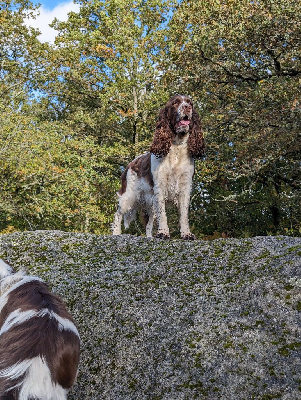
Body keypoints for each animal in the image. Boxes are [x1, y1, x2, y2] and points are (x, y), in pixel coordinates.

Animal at [111, 95, 205, 239]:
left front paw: (186, 234)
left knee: (148, 224)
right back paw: (116, 234)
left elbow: (183, 215)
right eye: (175, 103)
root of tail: (131, 164)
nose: (187, 107)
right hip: (129, 196)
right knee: (118, 214)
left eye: (190, 103)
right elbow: (163, 214)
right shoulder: (160, 187)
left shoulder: (185, 186)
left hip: (149, 204)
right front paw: (163, 233)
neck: (176, 146)